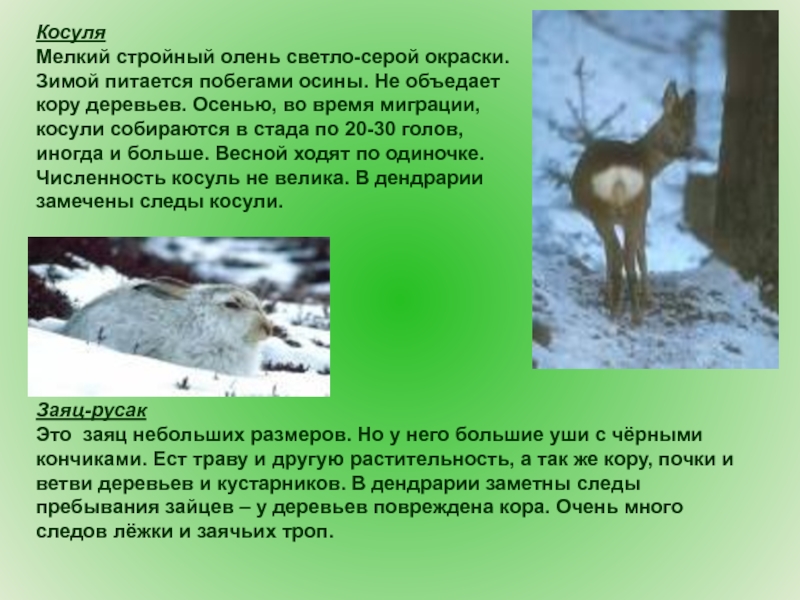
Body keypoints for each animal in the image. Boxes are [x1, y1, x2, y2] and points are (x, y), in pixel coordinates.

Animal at [571, 81, 696, 324]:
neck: (648, 162)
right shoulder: (643, 211)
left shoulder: (637, 211)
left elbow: (620, 254)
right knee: (625, 254)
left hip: (607, 210)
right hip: (632, 207)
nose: (688, 151)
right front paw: (641, 298)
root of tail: (619, 174)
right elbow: (634, 253)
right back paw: (632, 314)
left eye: (692, 131)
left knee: (621, 253)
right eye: (675, 128)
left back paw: (619, 309)